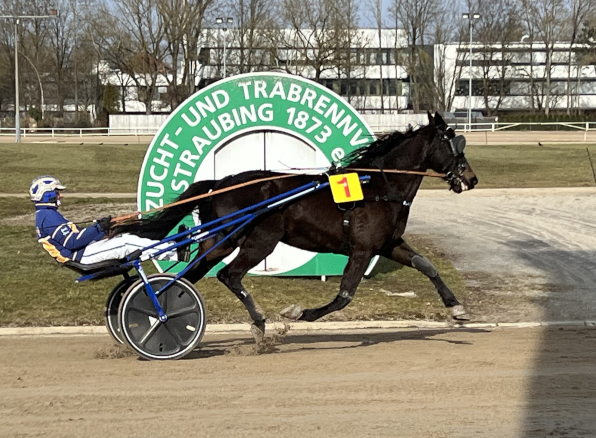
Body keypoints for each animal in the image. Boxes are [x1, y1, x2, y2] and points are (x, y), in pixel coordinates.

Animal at [117, 112, 480, 342]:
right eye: (453, 143)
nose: (471, 178)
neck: (377, 186)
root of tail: (219, 183)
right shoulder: (362, 249)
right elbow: (344, 296)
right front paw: (296, 314)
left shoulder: (388, 244)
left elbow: (427, 266)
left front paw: (458, 309)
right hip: (259, 239)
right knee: (228, 275)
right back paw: (255, 323)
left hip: (221, 240)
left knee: (190, 276)